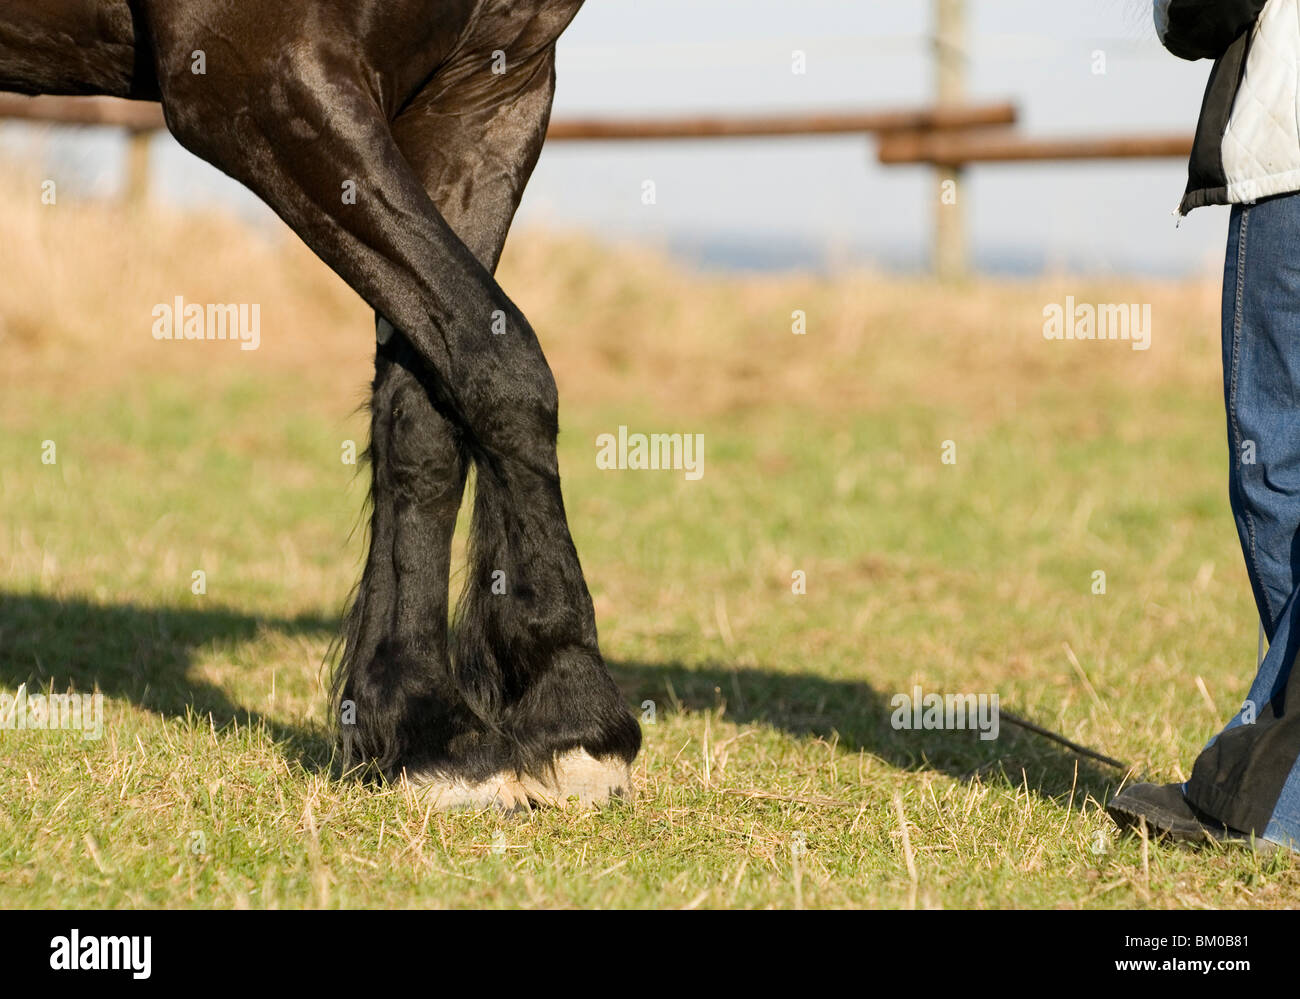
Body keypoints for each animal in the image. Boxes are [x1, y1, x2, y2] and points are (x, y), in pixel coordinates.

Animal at [2, 0, 642, 806]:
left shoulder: (490, 91)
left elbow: (429, 405)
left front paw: (420, 725)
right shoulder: (262, 75)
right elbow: (500, 363)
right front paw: (574, 705)